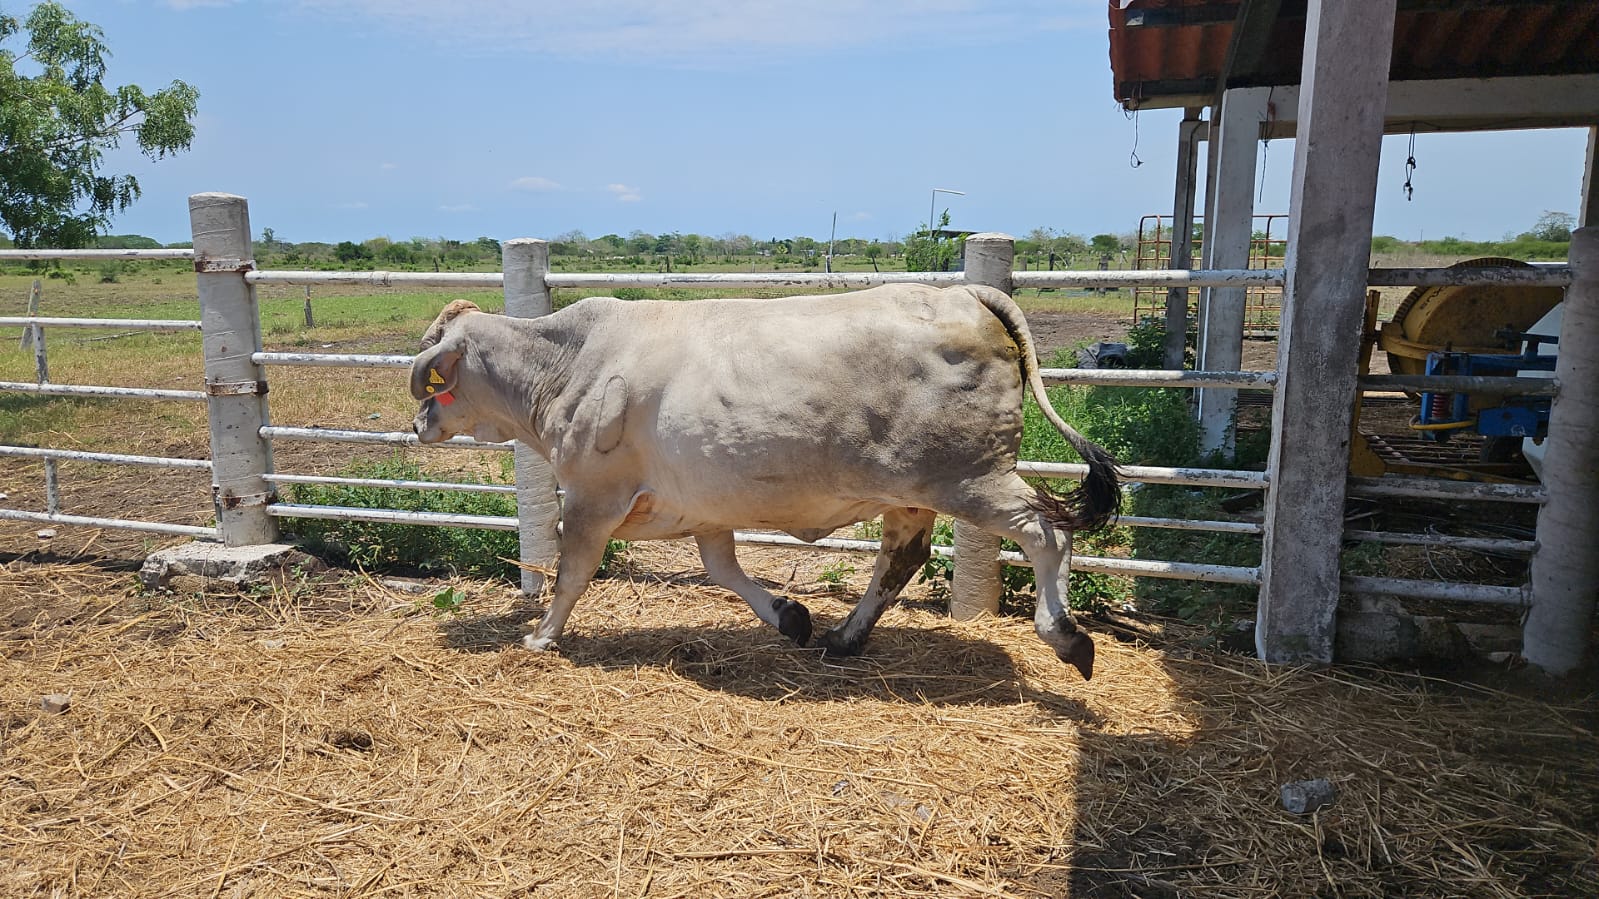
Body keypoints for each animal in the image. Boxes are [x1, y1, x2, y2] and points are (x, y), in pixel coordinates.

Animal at [409, 284, 1121, 679]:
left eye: (436, 368)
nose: (417, 422)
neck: (568, 365)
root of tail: (966, 291)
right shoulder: (705, 507)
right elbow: (723, 569)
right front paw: (790, 617)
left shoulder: (590, 497)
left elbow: (571, 573)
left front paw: (541, 636)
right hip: (915, 493)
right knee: (901, 558)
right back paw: (844, 637)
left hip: (974, 478)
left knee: (1046, 532)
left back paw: (1065, 636)